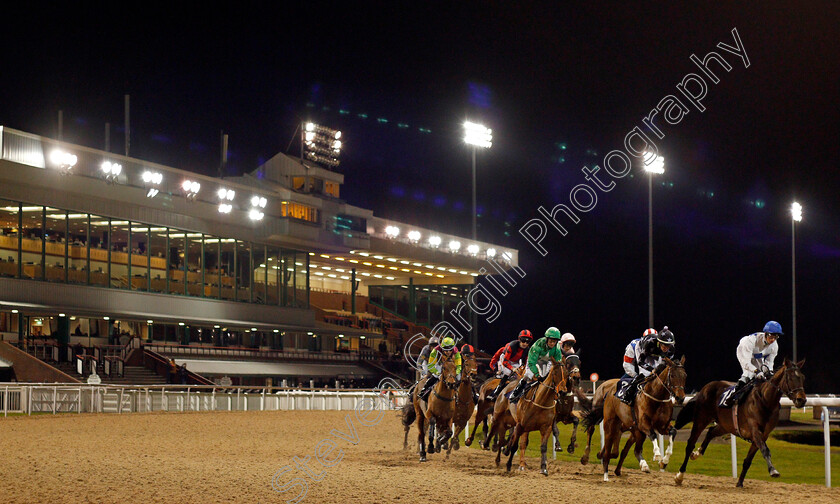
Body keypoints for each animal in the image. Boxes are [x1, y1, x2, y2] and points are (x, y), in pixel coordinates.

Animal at [672, 356, 804, 486]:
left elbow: (748, 461)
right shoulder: (755, 431)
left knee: (711, 431)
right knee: (690, 443)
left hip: (726, 425)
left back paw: (697, 453)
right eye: (790, 377)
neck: (765, 401)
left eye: (802, 378)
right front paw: (773, 471)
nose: (802, 400)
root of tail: (704, 388)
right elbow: (765, 450)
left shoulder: (763, 435)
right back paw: (679, 475)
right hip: (701, 419)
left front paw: (739, 483)